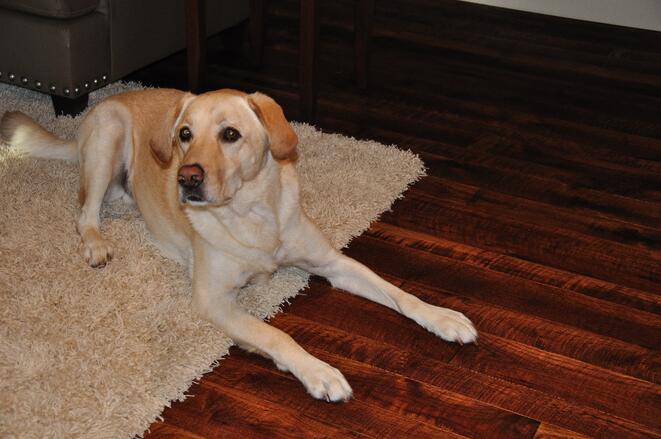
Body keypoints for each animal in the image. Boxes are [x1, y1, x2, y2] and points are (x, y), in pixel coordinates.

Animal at [0, 88, 474, 402]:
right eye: (185, 133)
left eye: (230, 134)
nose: (186, 178)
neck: (254, 215)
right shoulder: (213, 301)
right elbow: (275, 334)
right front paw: (317, 371)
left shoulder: (332, 263)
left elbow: (398, 293)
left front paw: (442, 317)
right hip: (107, 136)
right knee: (84, 212)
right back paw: (96, 243)